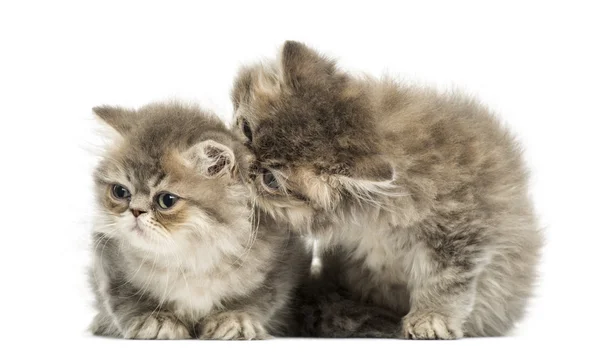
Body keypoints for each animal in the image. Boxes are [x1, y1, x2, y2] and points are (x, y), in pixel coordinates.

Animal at [88, 102, 310, 338]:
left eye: (166, 200)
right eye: (120, 192)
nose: (135, 211)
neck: (189, 258)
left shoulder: (279, 265)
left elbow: (255, 301)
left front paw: (234, 319)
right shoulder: (110, 263)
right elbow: (127, 300)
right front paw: (156, 320)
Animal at [230, 41, 544, 338]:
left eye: (271, 180)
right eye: (246, 130)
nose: (246, 163)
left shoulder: (460, 234)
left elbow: (445, 284)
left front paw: (432, 318)